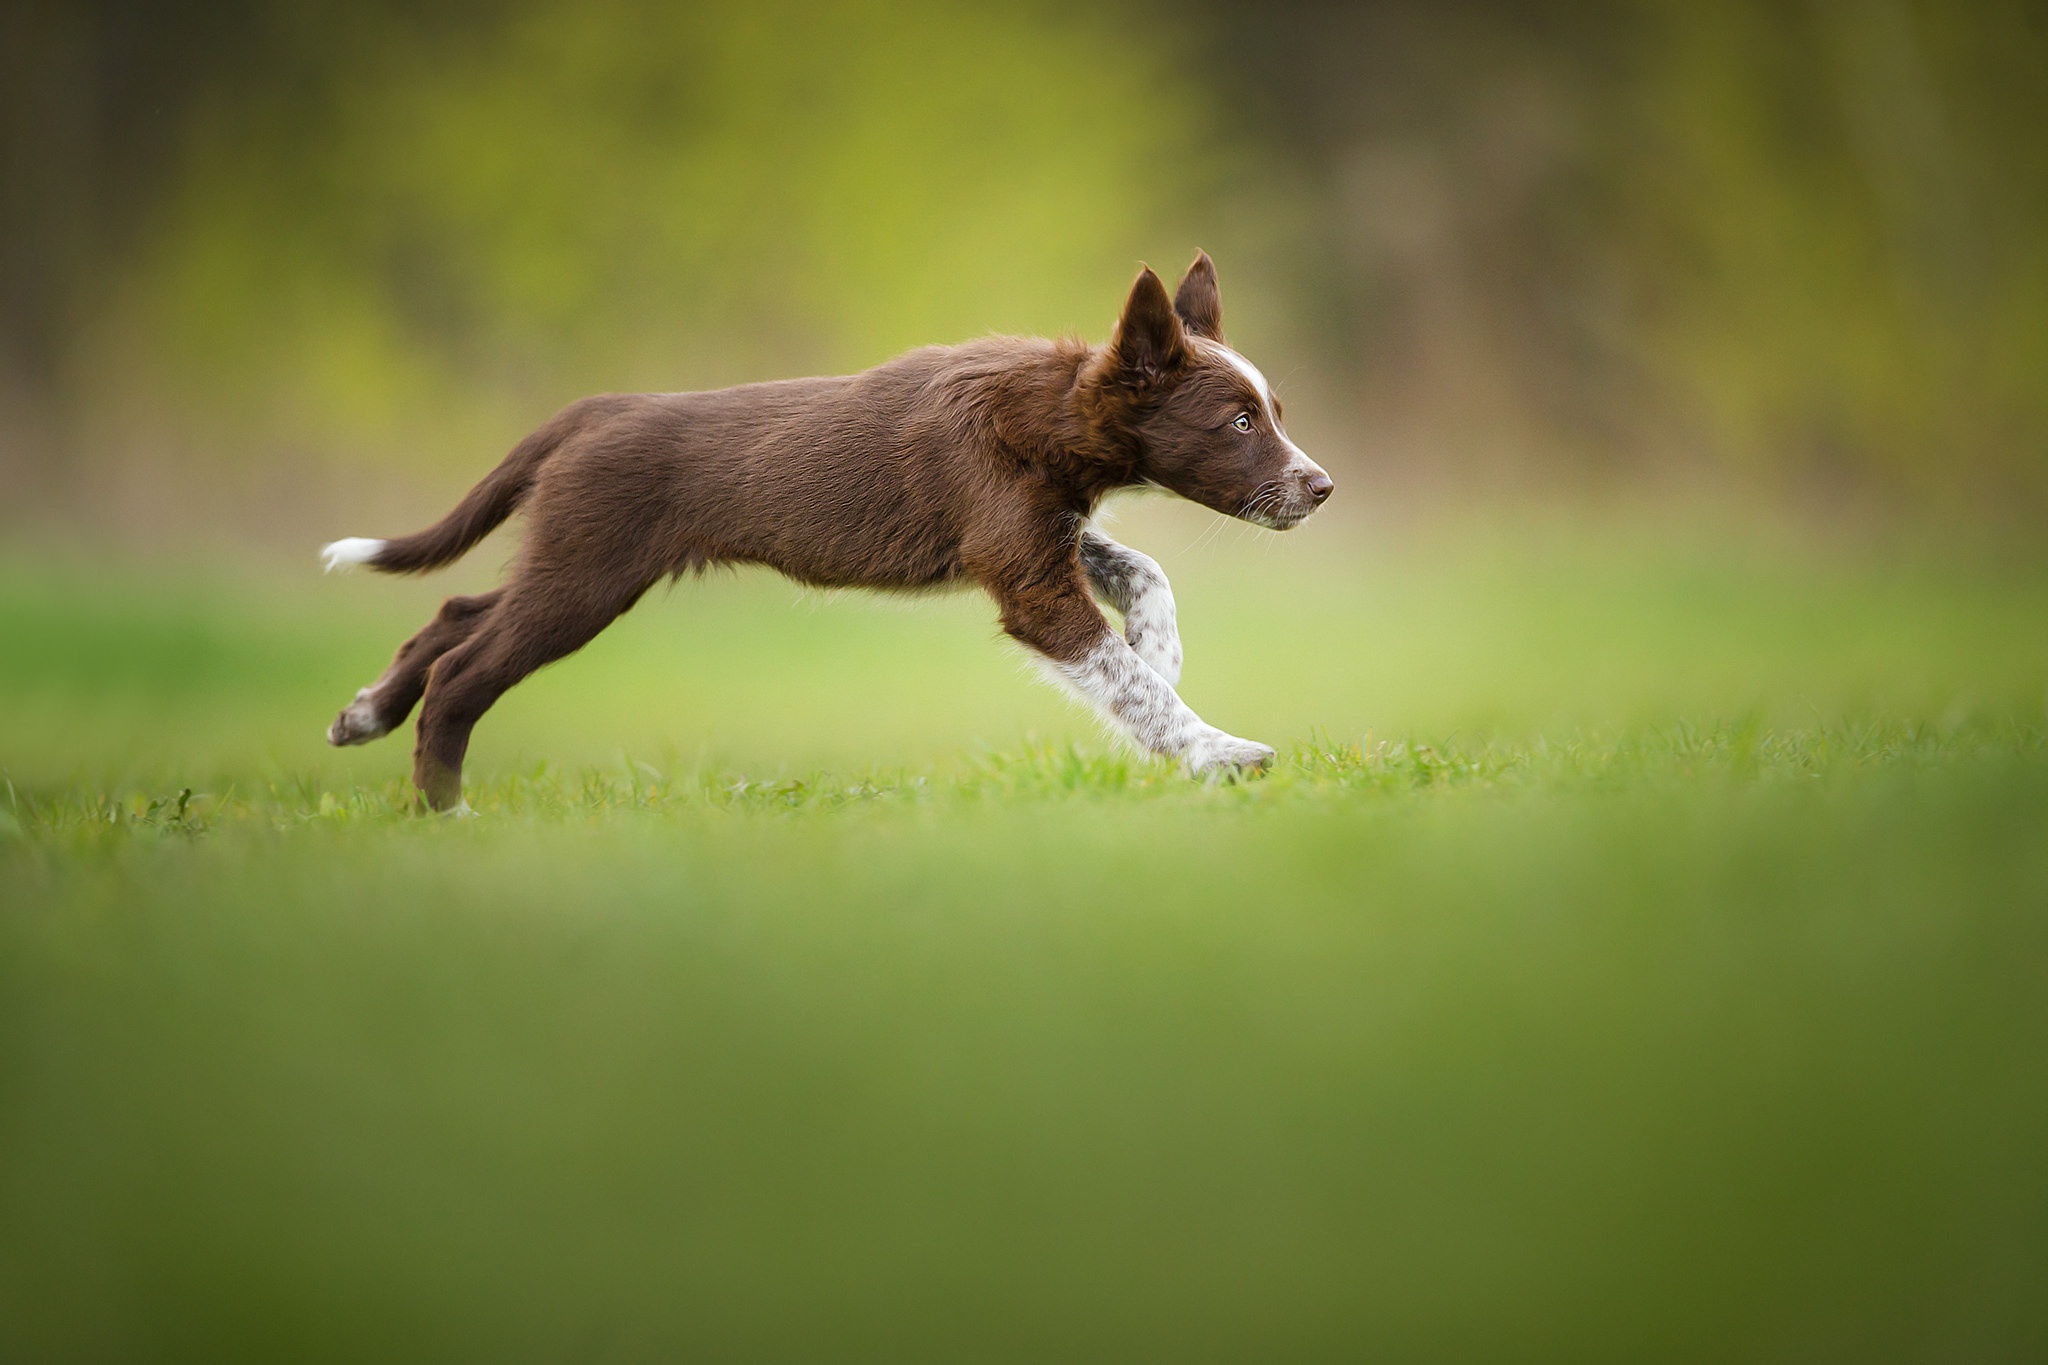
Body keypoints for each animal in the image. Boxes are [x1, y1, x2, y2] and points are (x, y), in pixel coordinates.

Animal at [321, 253, 1335, 810]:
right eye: (1240, 422)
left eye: (1274, 413)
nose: (1322, 487)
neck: (1049, 409)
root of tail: (595, 409)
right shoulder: (1025, 573)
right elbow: (1129, 682)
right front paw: (1216, 750)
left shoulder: (1034, 536)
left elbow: (1141, 569)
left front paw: (1160, 646)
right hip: (587, 573)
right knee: (466, 668)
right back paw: (445, 814)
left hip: (568, 553)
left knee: (458, 609)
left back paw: (365, 712)